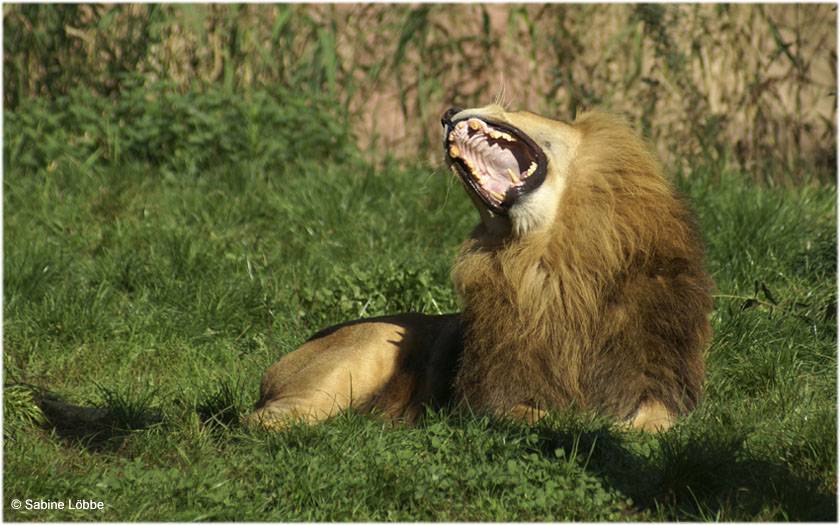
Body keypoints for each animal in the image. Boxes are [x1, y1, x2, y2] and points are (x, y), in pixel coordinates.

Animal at [244, 104, 716, 432]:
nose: (447, 113)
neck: (549, 263)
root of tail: (278, 365)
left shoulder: (662, 383)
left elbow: (653, 425)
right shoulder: (489, 399)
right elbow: (547, 418)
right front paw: (586, 425)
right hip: (368, 346)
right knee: (266, 421)